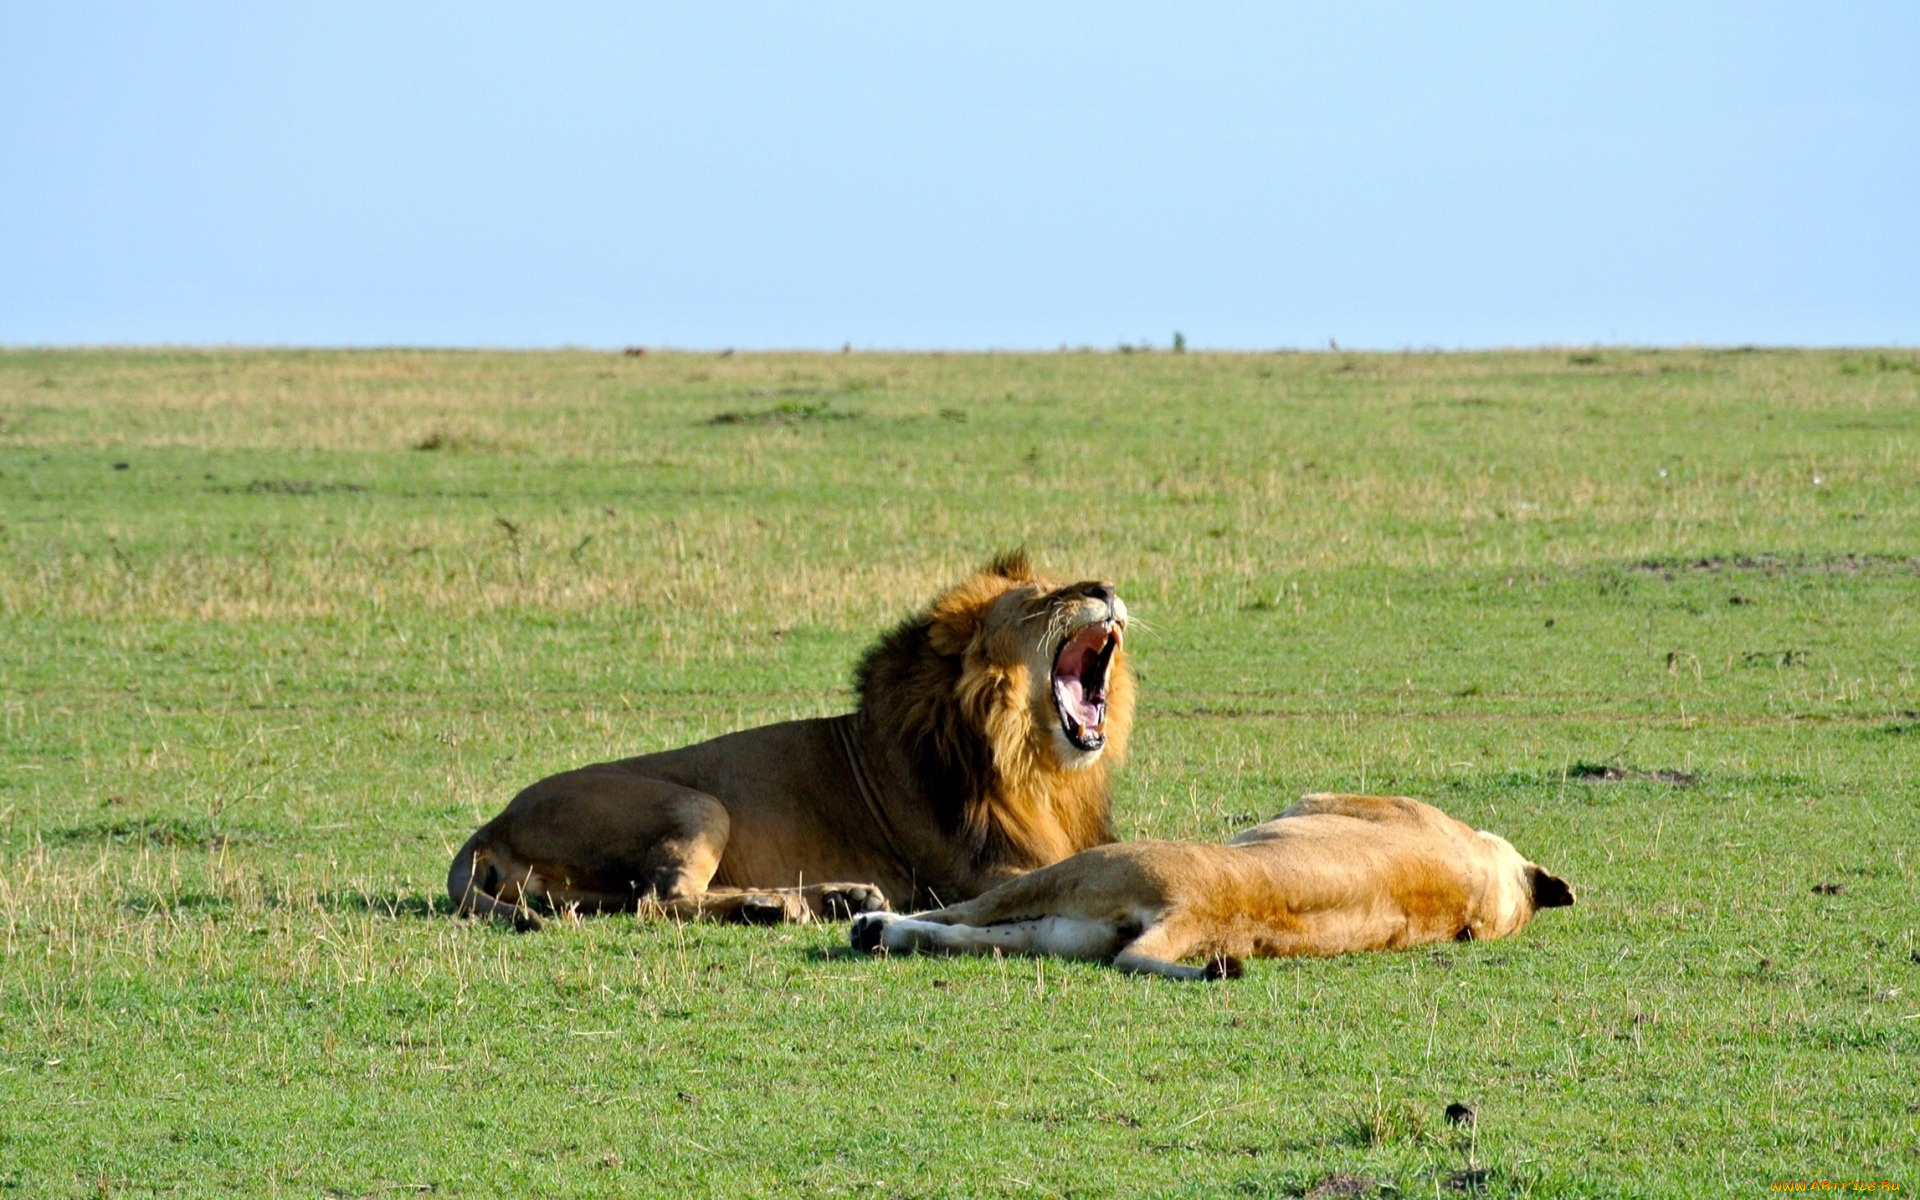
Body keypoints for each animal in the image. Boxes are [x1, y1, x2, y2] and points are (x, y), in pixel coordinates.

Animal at [445, 552, 1136, 925]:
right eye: (1038, 601)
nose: (1105, 588)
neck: (1037, 767)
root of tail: (491, 825)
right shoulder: (982, 870)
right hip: (696, 803)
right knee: (660, 900)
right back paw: (780, 906)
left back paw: (827, 897)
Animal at [848, 791, 1566, 979]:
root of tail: (1199, 908)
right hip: (1059, 931)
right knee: (961, 934)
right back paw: (877, 930)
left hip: (1078, 872)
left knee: (958, 914)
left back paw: (869, 926)